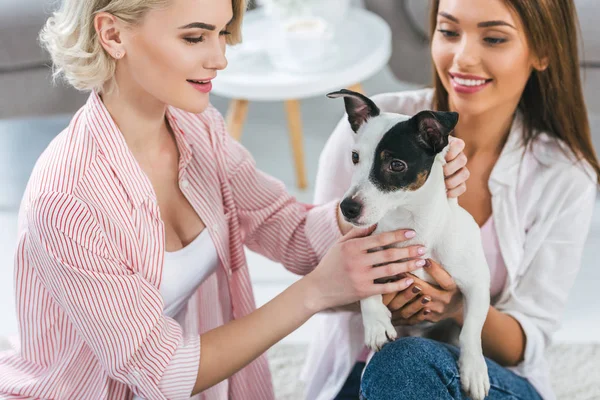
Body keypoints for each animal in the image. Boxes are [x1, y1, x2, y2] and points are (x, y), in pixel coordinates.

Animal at [328, 89, 492, 398]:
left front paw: (474, 370)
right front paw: (376, 324)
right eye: (355, 157)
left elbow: (472, 330)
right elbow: (367, 290)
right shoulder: (365, 256)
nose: (347, 208)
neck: (413, 225)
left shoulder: (477, 284)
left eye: (396, 165)